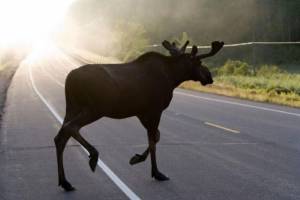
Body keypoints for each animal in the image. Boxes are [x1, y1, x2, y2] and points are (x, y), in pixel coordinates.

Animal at [54, 39, 224, 191]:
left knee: (60, 137)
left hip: (72, 107)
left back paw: (65, 182)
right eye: (199, 63)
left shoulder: (142, 112)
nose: (209, 77)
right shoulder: (155, 109)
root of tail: (70, 79)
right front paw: (156, 173)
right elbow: (153, 140)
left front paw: (137, 158)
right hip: (94, 108)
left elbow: (156, 137)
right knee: (71, 127)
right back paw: (93, 156)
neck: (173, 77)